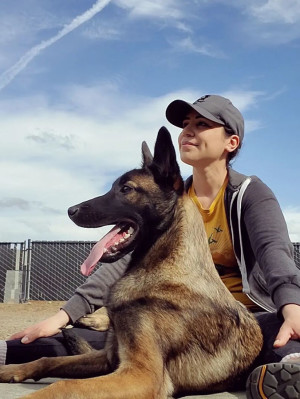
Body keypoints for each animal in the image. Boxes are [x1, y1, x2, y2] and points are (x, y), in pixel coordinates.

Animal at [0, 128, 262, 399]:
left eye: (126, 188)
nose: (70, 210)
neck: (160, 268)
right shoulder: (108, 357)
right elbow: (47, 360)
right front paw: (9, 370)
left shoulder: (141, 375)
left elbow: (64, 385)